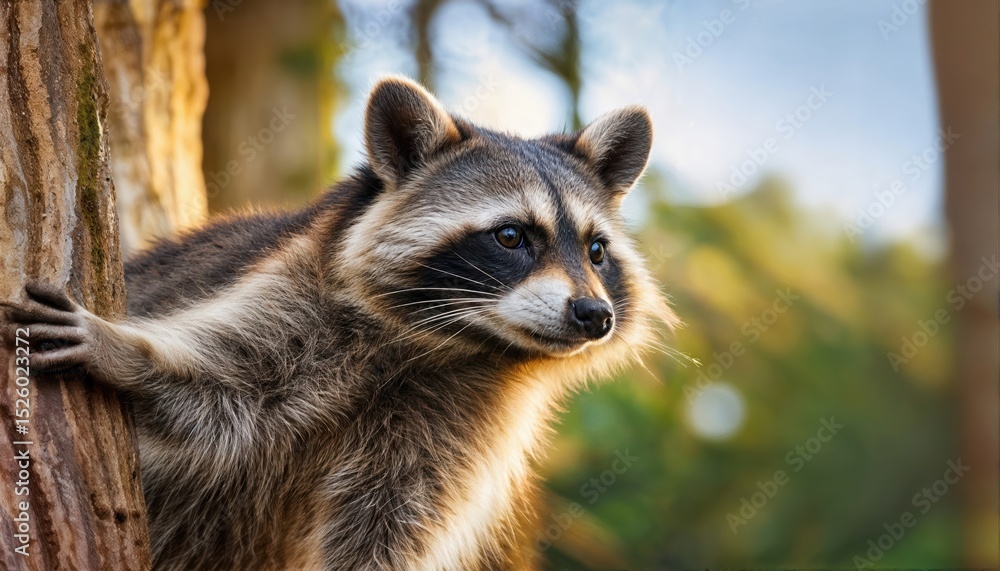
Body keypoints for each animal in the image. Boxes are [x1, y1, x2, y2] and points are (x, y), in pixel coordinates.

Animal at [3, 76, 676, 570]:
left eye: (596, 250)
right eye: (511, 237)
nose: (594, 314)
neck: (455, 346)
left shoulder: (459, 424)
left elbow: (389, 525)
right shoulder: (298, 294)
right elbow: (226, 390)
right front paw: (128, 355)